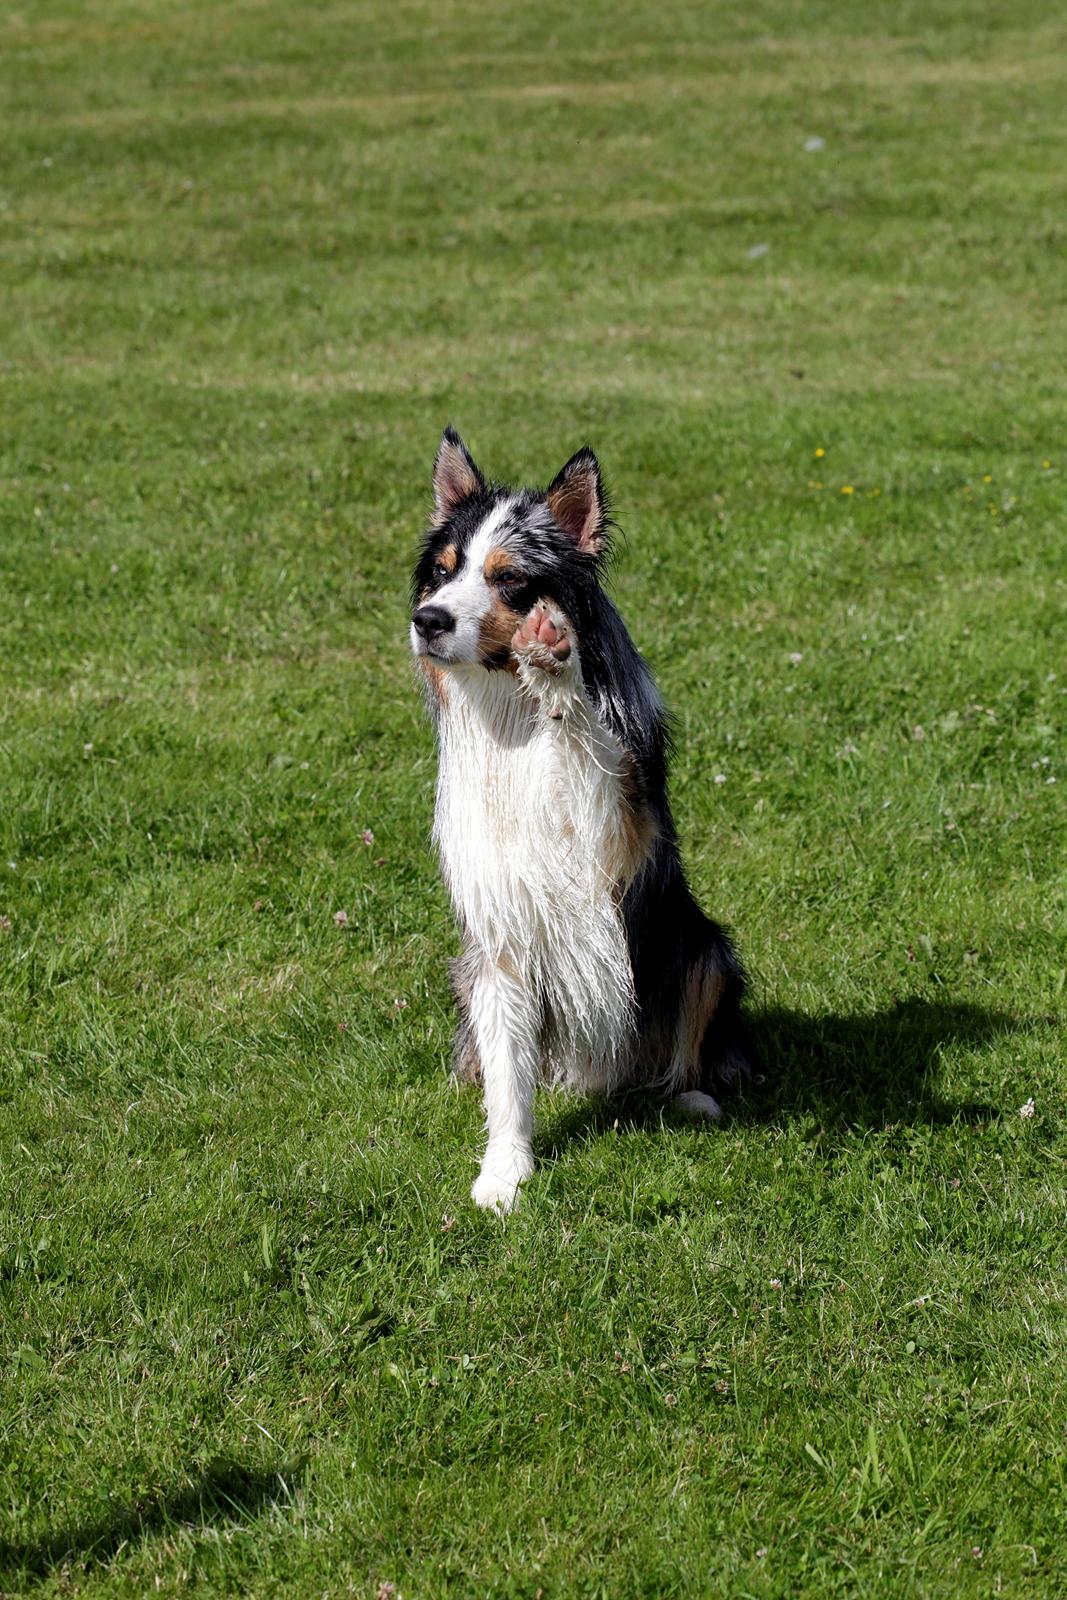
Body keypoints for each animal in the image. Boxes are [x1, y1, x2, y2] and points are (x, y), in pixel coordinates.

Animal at [409, 432, 751, 1203]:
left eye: (509, 580)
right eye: (442, 573)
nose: (428, 621)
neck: (511, 716)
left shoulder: (615, 843)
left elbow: (586, 745)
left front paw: (556, 662)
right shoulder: (500, 930)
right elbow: (509, 1075)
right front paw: (504, 1173)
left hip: (703, 947)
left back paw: (692, 1096)